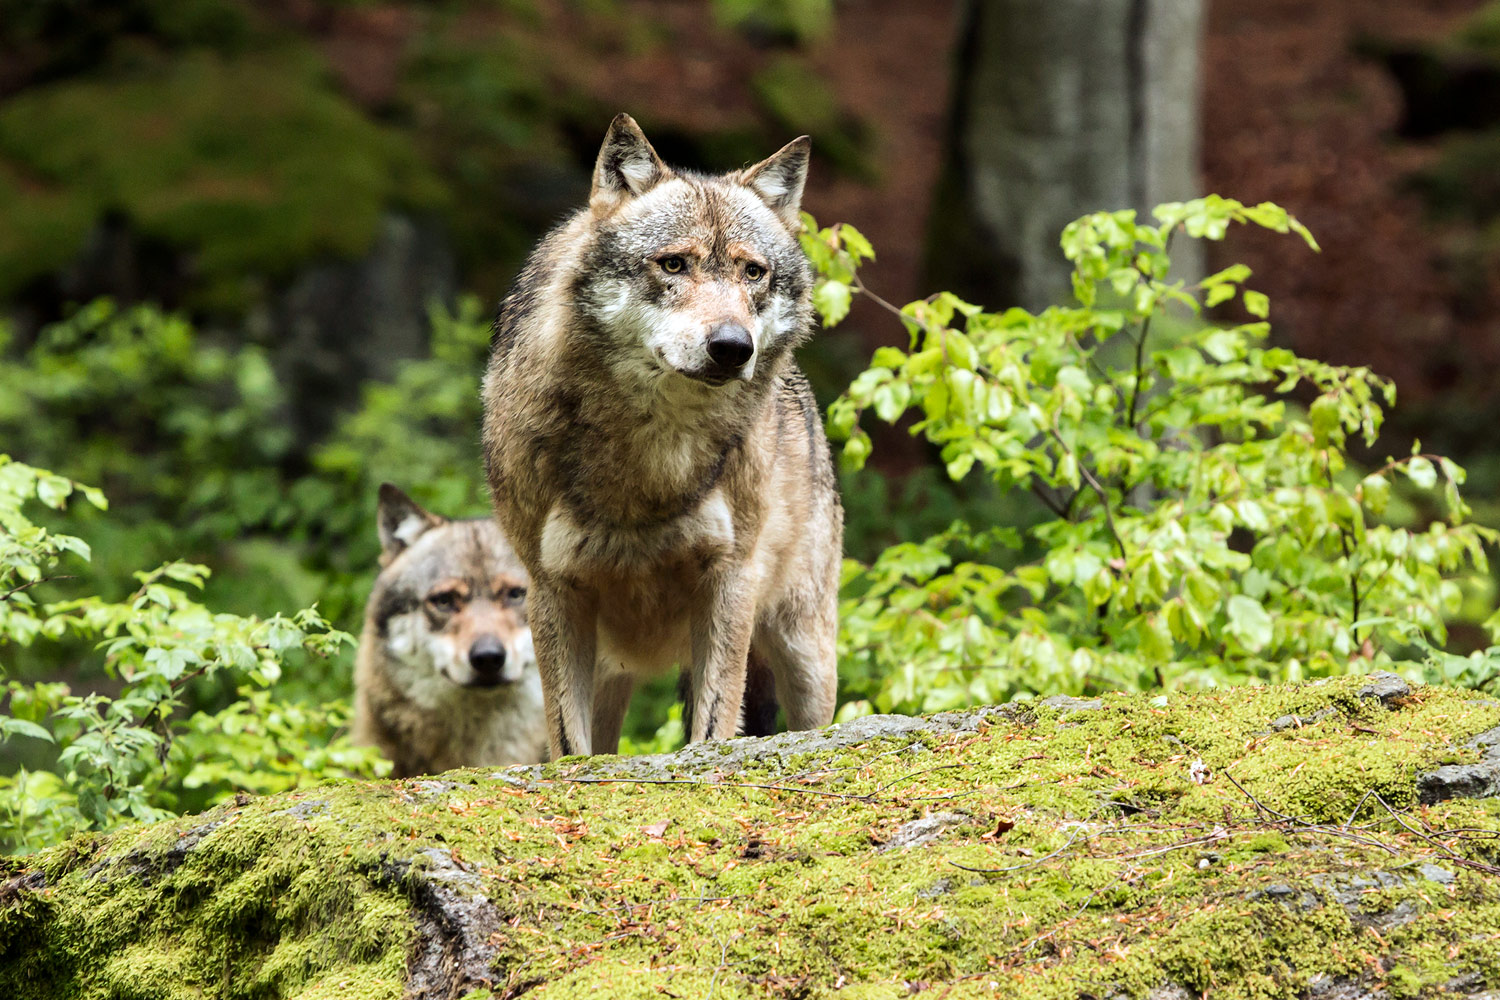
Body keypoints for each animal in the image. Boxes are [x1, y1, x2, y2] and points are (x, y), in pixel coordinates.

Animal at [486, 113, 852, 758]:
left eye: (752, 272)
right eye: (674, 265)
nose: (732, 346)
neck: (651, 460)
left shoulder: (730, 579)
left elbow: (712, 724)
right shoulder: (552, 589)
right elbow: (569, 744)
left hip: (804, 651)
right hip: (610, 670)